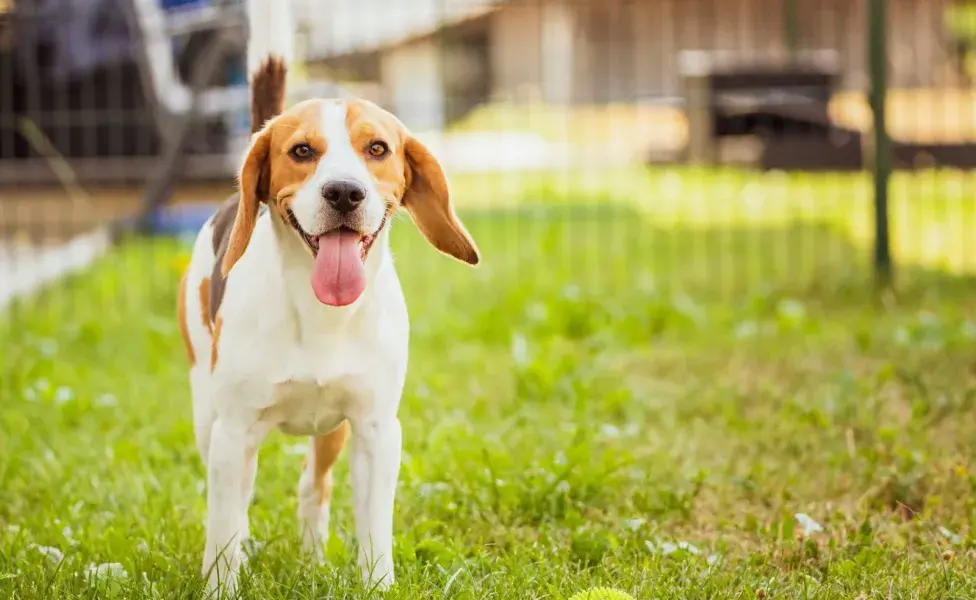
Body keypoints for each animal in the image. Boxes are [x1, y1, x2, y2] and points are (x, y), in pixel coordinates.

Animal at [179, 0, 480, 592]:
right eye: (301, 151)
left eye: (377, 149)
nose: (344, 192)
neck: (321, 316)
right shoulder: (233, 433)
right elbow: (222, 531)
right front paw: (223, 583)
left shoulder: (375, 431)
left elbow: (374, 533)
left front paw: (376, 586)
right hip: (208, 415)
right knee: (236, 506)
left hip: (331, 433)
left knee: (310, 487)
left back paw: (314, 560)